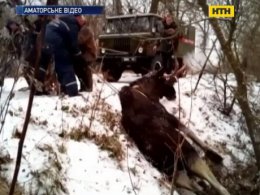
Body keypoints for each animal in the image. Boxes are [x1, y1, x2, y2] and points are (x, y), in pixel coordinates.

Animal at [118, 66, 230, 195]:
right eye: (165, 79)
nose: (174, 94)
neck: (144, 91)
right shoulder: (169, 116)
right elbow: (189, 131)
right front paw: (212, 153)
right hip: (192, 159)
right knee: (220, 188)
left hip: (178, 177)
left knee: (196, 188)